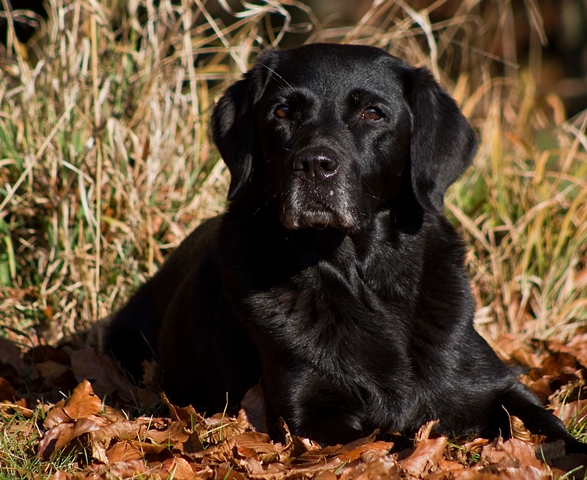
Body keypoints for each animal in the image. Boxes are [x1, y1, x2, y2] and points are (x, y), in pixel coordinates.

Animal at [108, 43, 584, 452]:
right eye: (282, 111)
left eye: (372, 113)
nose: (314, 165)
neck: (365, 278)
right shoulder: (311, 414)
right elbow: (394, 436)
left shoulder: (496, 385)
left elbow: (552, 425)